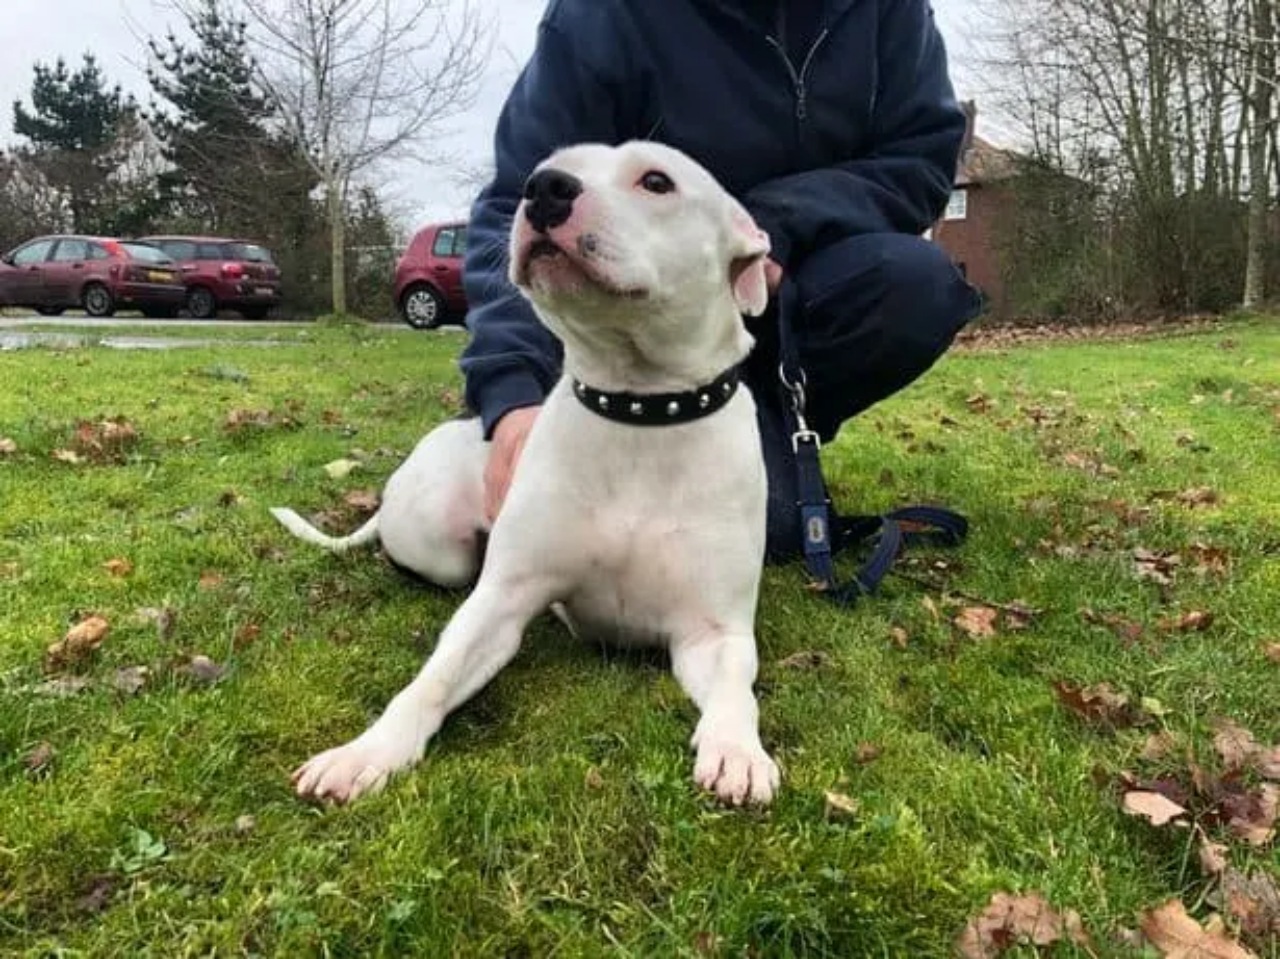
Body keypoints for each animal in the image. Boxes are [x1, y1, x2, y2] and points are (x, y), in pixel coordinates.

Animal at [279, 140, 773, 798]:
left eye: (656, 181)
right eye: (550, 167)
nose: (545, 188)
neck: (639, 409)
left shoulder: (714, 633)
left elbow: (737, 691)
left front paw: (737, 749)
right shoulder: (500, 602)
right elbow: (432, 680)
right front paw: (368, 751)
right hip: (437, 540)